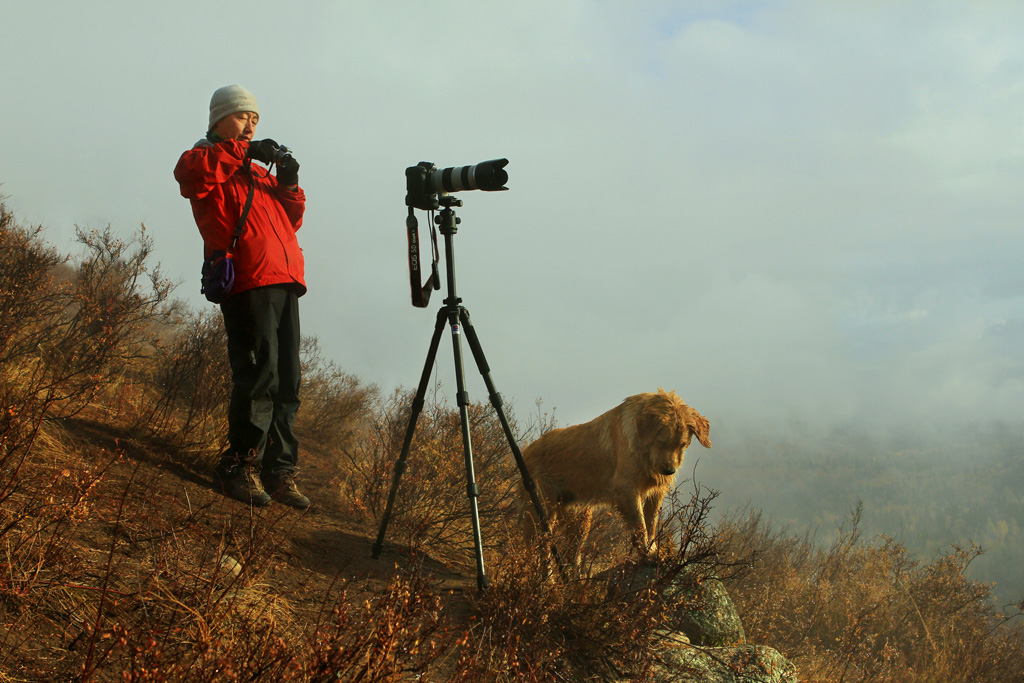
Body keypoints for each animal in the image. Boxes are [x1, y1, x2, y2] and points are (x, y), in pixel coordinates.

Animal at [520, 389, 712, 561]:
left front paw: (653, 549)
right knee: (540, 552)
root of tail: (527, 450)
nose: (669, 471)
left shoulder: (657, 491)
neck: (643, 450)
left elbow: (651, 522)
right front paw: (645, 552)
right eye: (661, 442)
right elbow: (640, 525)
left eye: (683, 445)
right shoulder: (627, 490)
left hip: (580, 521)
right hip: (542, 512)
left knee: (572, 556)